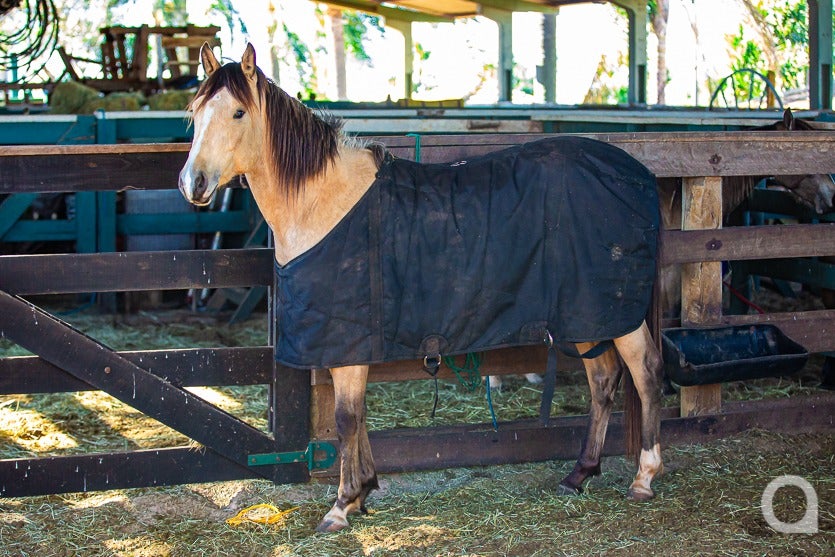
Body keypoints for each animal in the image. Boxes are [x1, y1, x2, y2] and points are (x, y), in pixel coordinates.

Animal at [179, 43, 664, 533]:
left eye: (239, 112)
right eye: (195, 112)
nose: (192, 183)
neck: (325, 203)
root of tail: (638, 174)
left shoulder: (347, 342)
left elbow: (346, 418)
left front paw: (342, 504)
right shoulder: (352, 345)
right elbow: (359, 415)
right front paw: (364, 491)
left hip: (614, 315)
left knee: (645, 373)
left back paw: (643, 478)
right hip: (586, 316)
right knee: (603, 380)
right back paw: (579, 473)